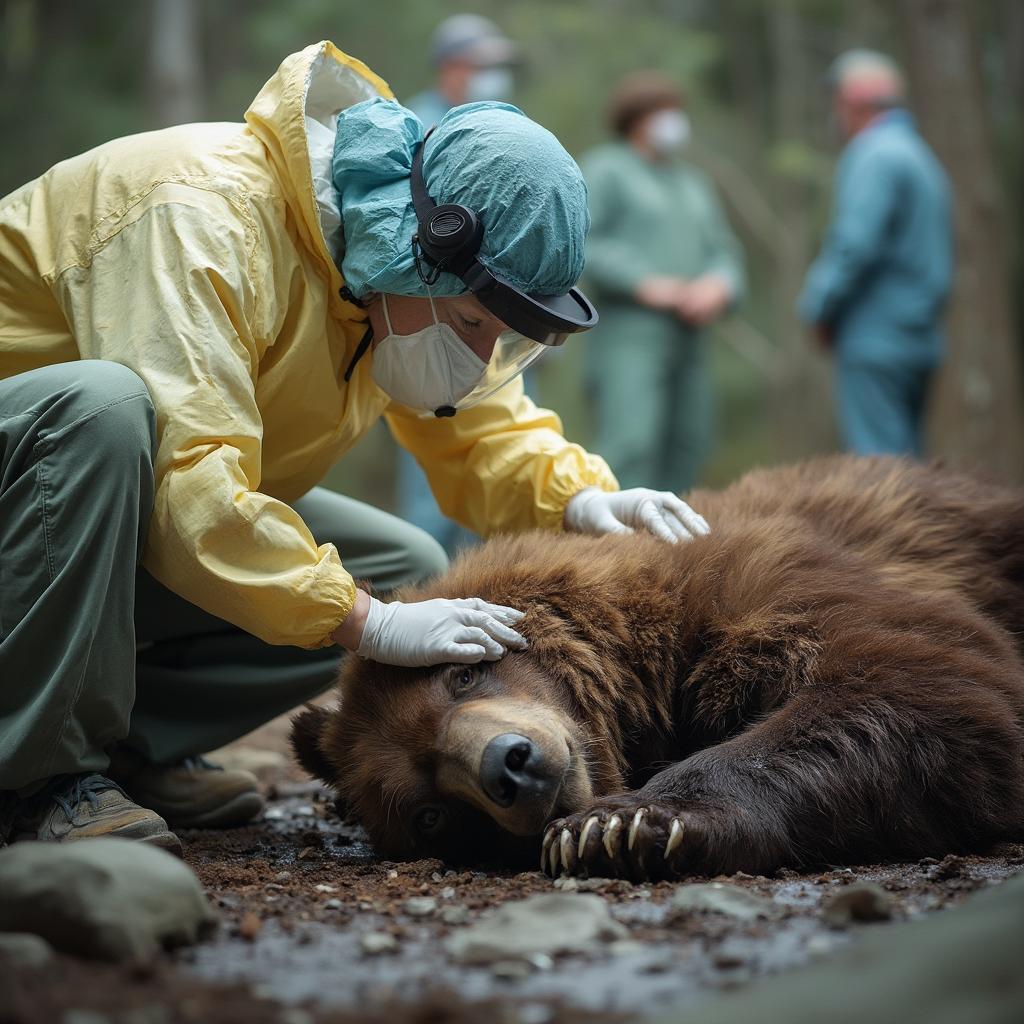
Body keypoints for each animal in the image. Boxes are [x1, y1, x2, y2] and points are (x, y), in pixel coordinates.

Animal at [290, 456, 1024, 880]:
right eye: (430, 815)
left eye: (460, 675)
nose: (510, 766)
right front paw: (606, 831)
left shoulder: (774, 581)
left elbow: (920, 682)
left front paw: (623, 824)